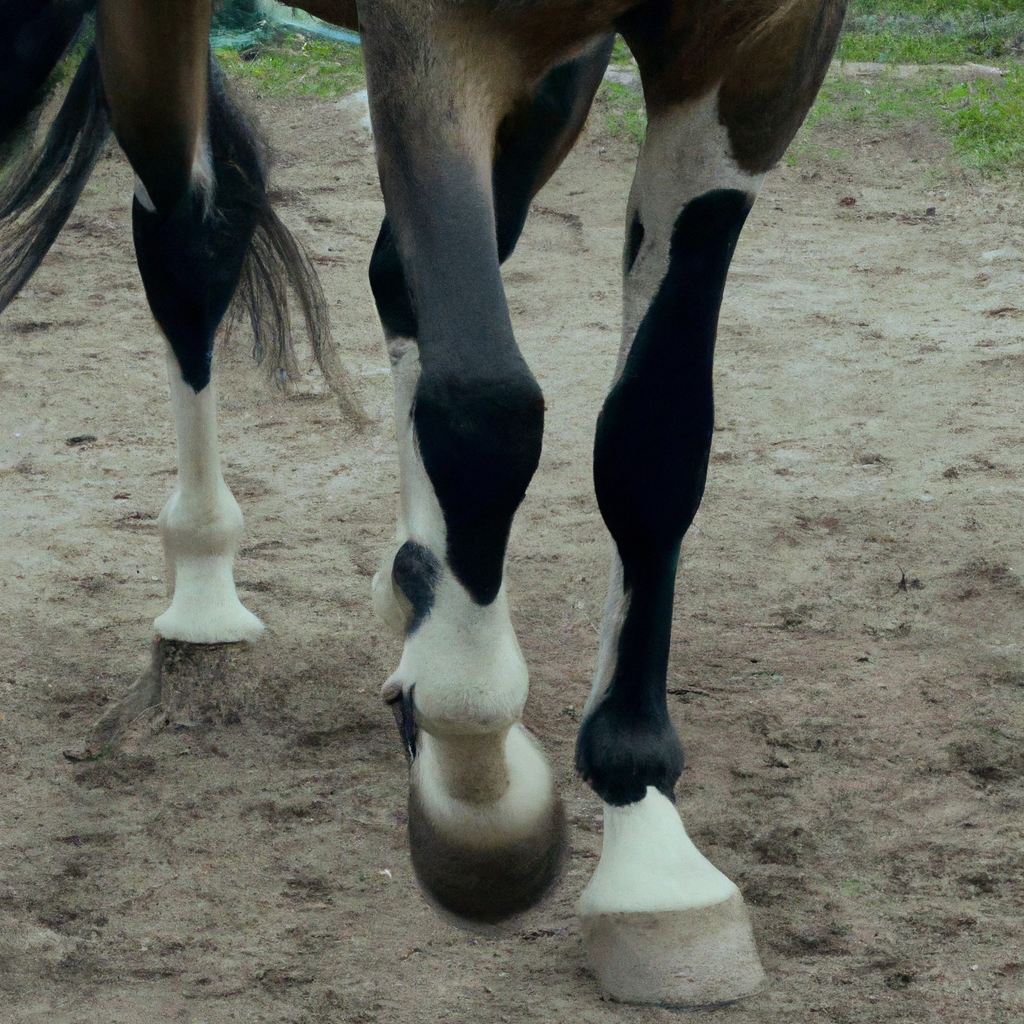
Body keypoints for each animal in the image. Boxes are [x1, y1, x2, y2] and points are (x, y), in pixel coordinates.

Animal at [0, 0, 847, 1007]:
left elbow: (656, 441)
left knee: (386, 273)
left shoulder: (753, 55)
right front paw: (481, 796)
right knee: (188, 237)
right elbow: (486, 404)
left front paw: (649, 843)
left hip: (554, 81)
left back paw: (413, 582)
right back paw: (204, 588)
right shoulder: (433, 37)